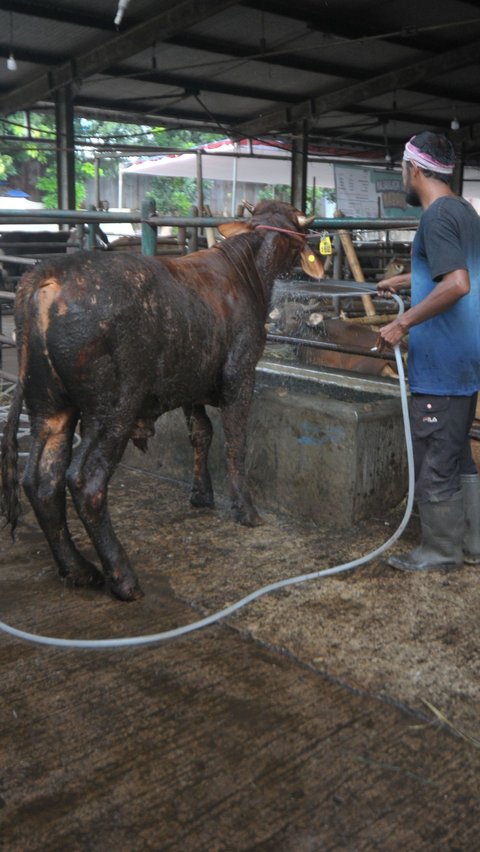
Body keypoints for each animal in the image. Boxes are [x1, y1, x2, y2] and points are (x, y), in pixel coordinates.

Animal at [1, 201, 322, 600]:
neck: (245, 272)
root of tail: (47, 276)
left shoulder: (190, 383)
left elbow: (201, 433)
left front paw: (201, 495)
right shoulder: (240, 373)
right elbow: (235, 442)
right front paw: (245, 510)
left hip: (49, 406)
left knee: (41, 481)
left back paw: (78, 569)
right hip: (113, 409)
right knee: (85, 481)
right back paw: (122, 578)